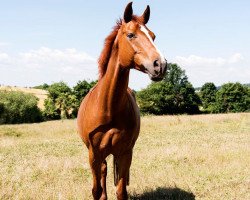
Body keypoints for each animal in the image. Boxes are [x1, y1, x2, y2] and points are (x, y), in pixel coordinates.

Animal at [77, 2, 167, 199]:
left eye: (153, 36)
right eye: (131, 34)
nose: (161, 65)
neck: (108, 108)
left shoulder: (125, 152)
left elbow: (121, 190)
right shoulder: (94, 155)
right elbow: (97, 191)